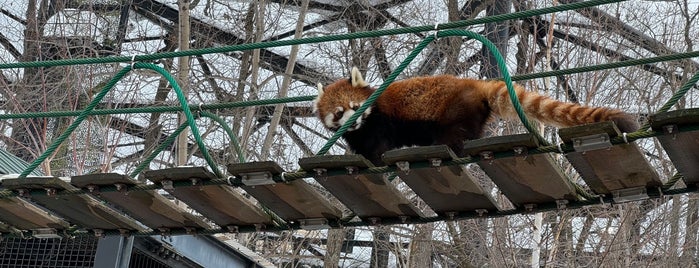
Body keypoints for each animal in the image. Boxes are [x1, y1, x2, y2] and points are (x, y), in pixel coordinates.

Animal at [318, 66, 640, 165]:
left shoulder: (380, 122)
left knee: (455, 135)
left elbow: (379, 145)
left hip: (454, 111)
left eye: (355, 107)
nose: (352, 121)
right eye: (338, 113)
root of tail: (474, 84)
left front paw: (375, 158)